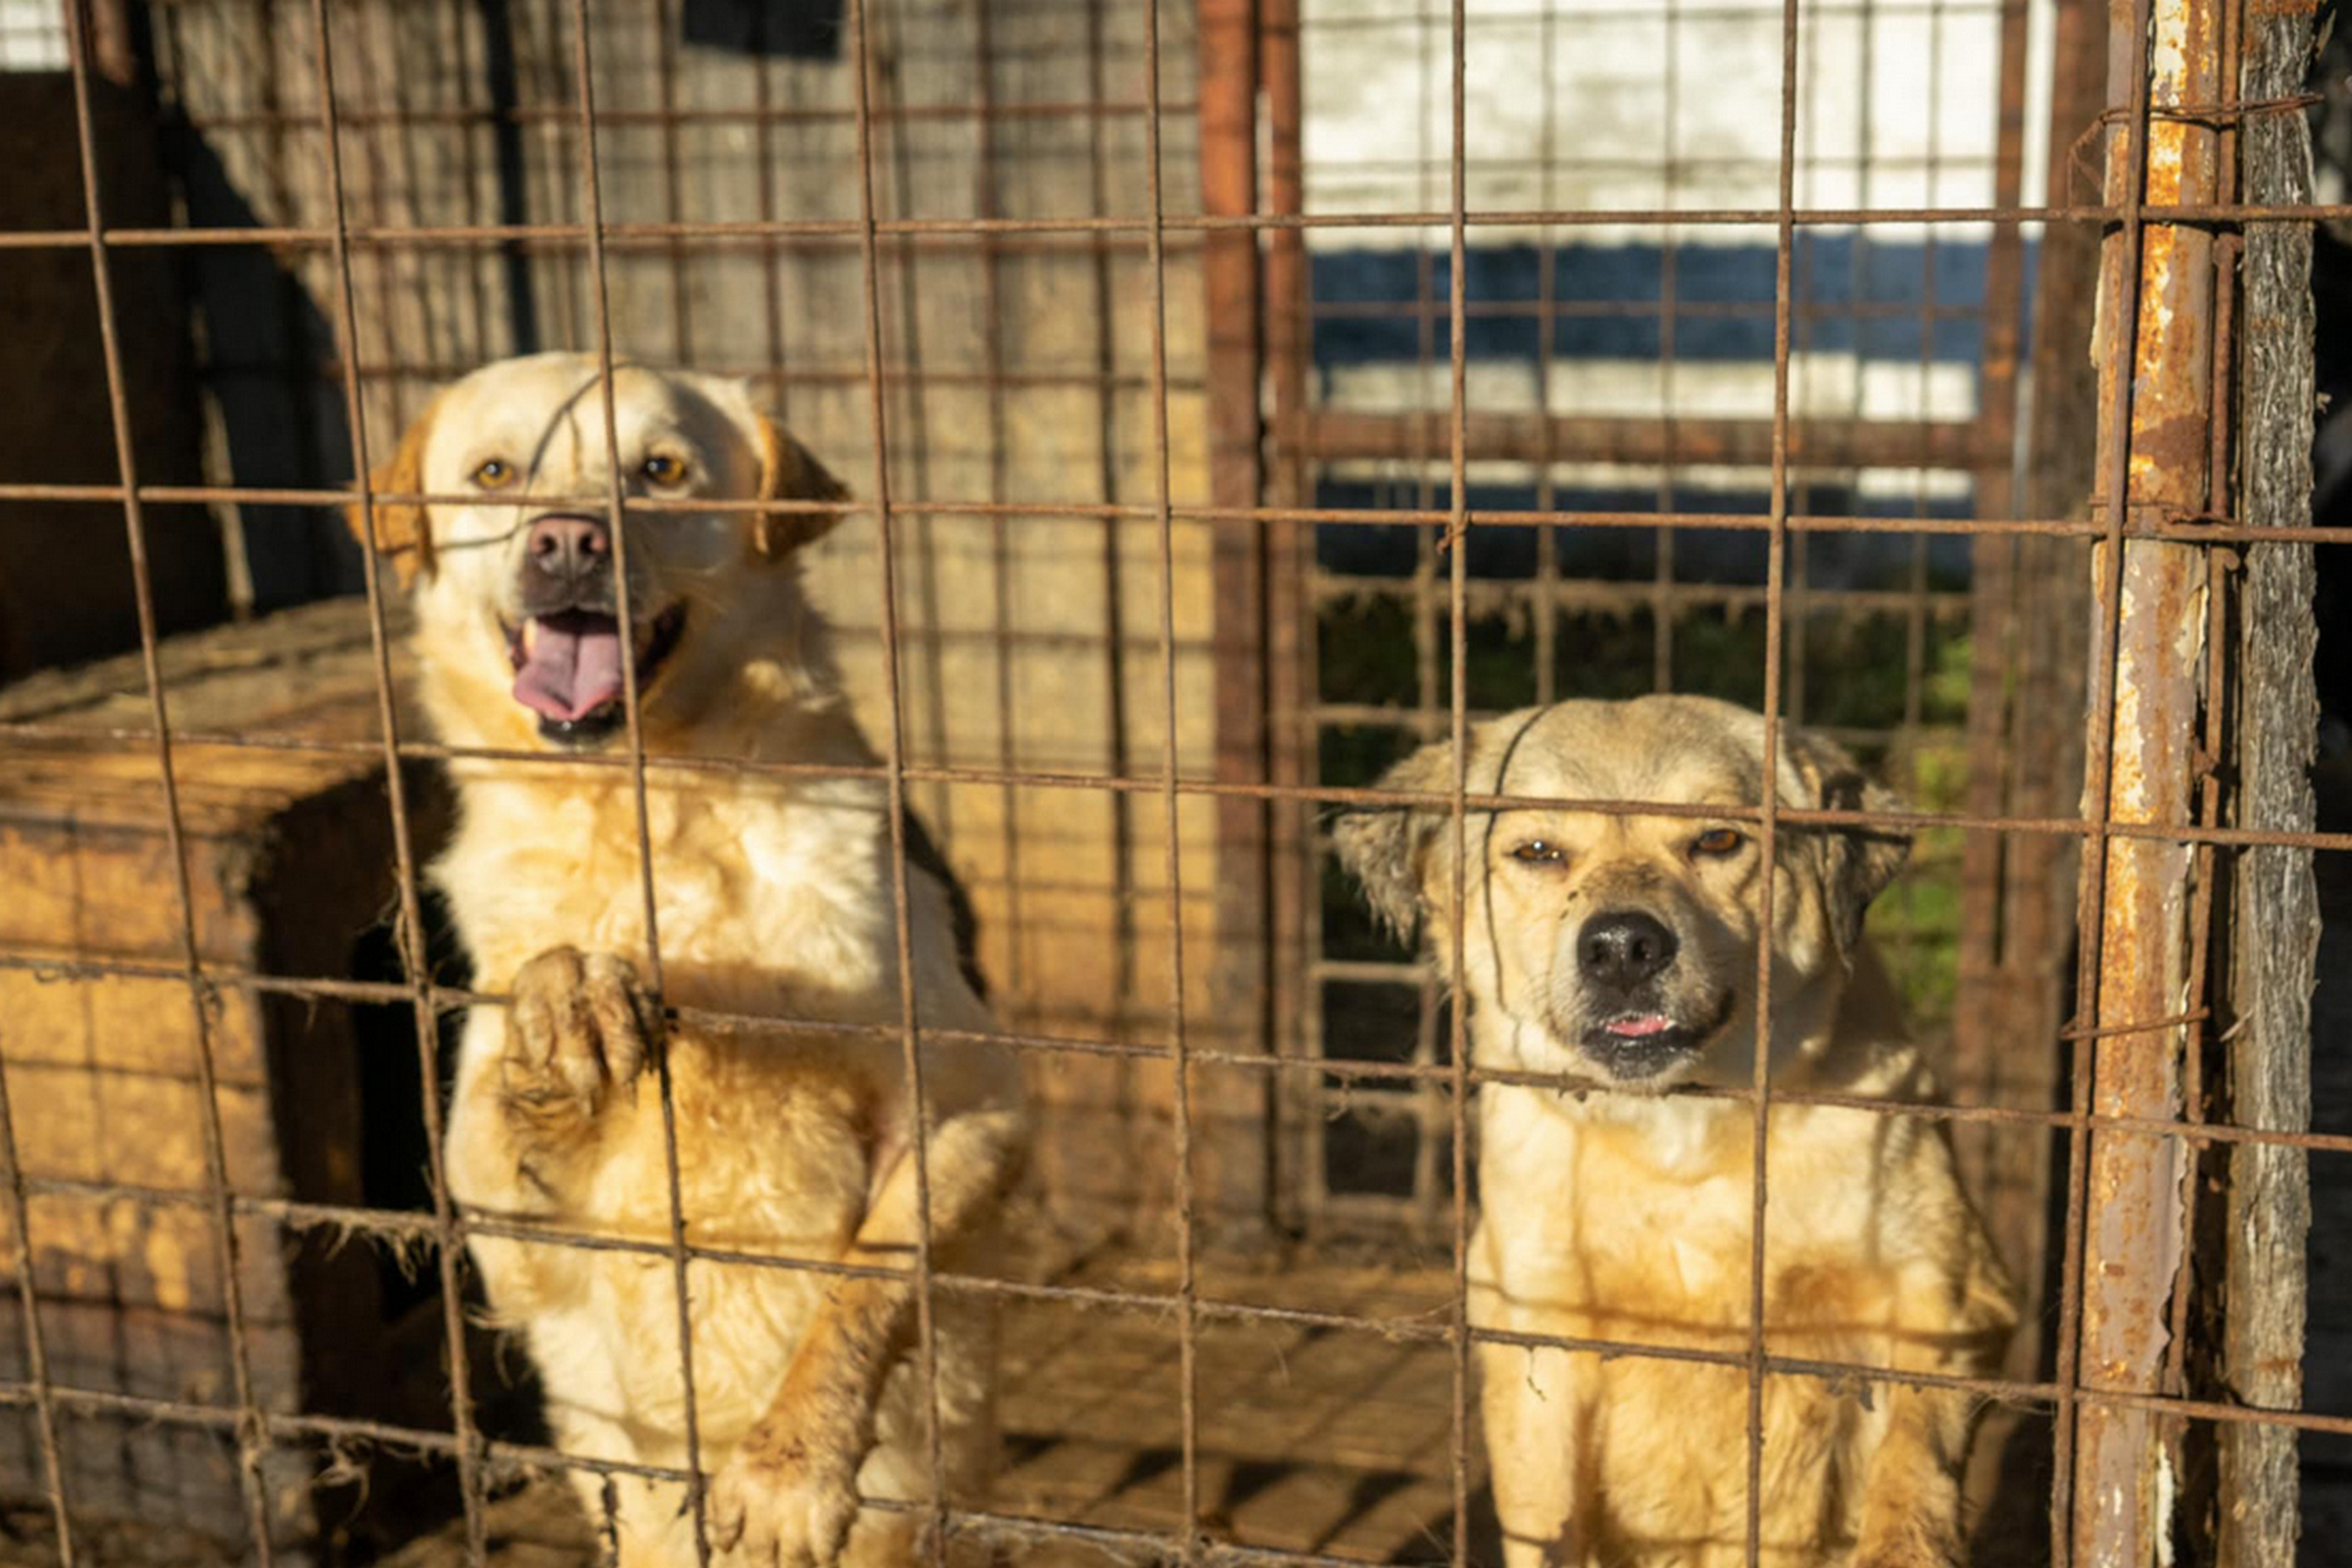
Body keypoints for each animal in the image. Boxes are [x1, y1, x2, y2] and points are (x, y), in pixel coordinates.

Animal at [343, 352, 1025, 1568]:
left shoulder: (972, 1100)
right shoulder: (500, 1228)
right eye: (495, 472)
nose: (568, 541)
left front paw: (790, 1464)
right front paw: (563, 1010)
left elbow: (870, 1274)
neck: (643, 810)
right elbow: (510, 1104)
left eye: (659, 471)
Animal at [1336, 700, 2013, 1568]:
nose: (1623, 946)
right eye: (1538, 851)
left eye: (1717, 840)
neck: (1681, 1140)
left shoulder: (1948, 1292)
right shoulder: (1537, 1333)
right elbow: (1543, 1512)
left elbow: (1912, 1461)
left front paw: (1902, 1543)